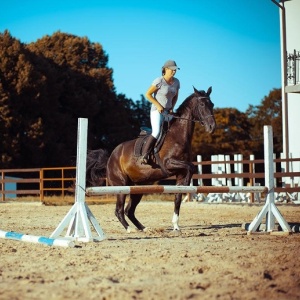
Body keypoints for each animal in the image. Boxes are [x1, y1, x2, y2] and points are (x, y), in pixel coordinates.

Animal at [86, 85, 216, 233]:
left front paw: (176, 225)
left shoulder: (179, 172)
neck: (178, 136)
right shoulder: (168, 163)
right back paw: (129, 229)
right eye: (202, 105)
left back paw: (143, 228)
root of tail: (110, 158)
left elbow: (178, 197)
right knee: (119, 210)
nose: (212, 127)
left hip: (137, 188)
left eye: (212, 104)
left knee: (129, 210)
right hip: (121, 186)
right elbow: (191, 166)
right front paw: (187, 183)